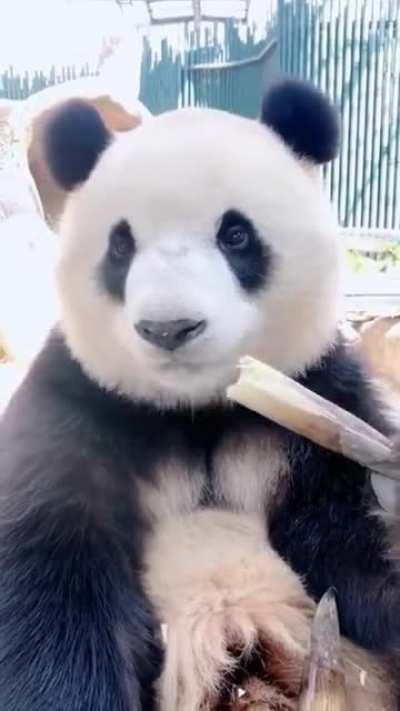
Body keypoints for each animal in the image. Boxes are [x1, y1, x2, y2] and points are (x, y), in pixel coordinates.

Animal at [0, 79, 399, 710]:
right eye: (120, 246)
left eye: (235, 235)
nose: (169, 328)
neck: (198, 413)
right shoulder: (76, 409)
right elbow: (51, 580)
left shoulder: (321, 400)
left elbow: (352, 549)